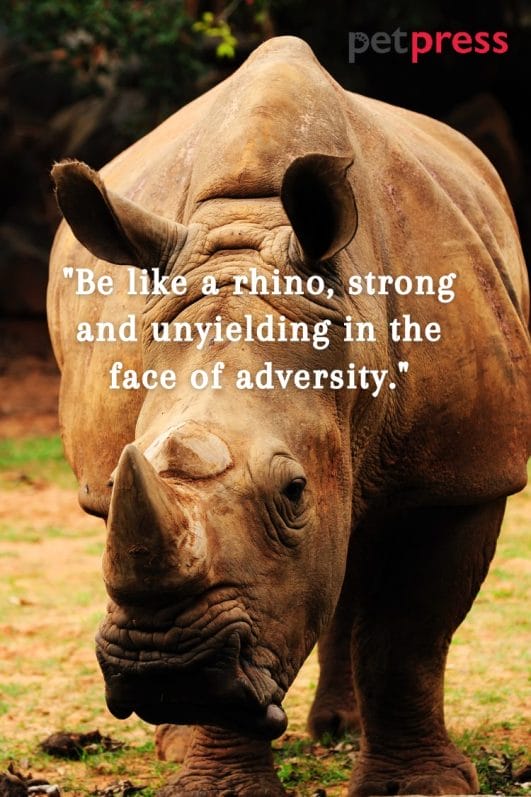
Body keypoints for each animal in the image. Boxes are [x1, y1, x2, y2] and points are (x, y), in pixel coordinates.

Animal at [47, 36, 530, 797]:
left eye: (294, 491)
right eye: (128, 472)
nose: (164, 670)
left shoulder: (466, 469)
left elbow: (407, 638)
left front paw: (418, 788)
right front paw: (214, 781)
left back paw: (338, 731)